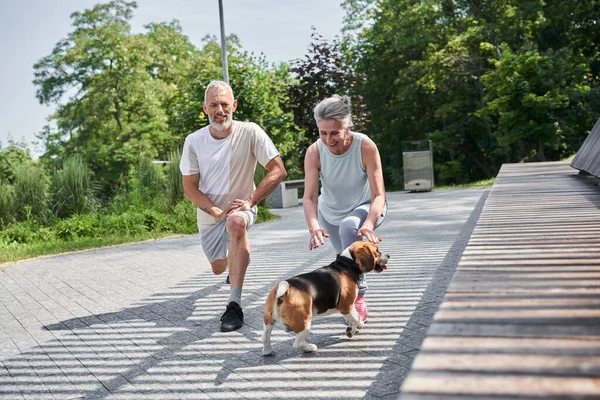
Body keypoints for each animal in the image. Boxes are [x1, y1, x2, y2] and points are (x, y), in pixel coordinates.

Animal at [262, 241, 390, 356]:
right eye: (377, 251)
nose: (388, 255)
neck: (347, 263)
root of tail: (285, 291)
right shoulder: (347, 306)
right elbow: (356, 317)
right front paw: (352, 330)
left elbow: (356, 317)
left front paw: (358, 325)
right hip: (305, 321)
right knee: (297, 344)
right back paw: (310, 347)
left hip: (269, 320)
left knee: (265, 337)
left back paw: (268, 351)